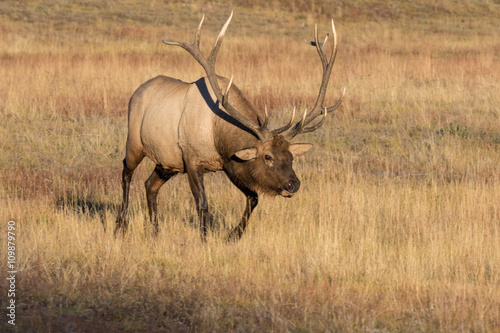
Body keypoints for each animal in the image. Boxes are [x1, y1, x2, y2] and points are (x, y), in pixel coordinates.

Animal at [115, 13, 346, 240]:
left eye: (291, 157)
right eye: (267, 157)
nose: (293, 184)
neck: (217, 135)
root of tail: (137, 91)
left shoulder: (228, 162)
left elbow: (253, 198)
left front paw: (233, 235)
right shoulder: (191, 160)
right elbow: (202, 204)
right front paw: (204, 239)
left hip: (167, 162)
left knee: (149, 185)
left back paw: (155, 231)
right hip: (135, 143)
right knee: (126, 172)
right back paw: (121, 225)